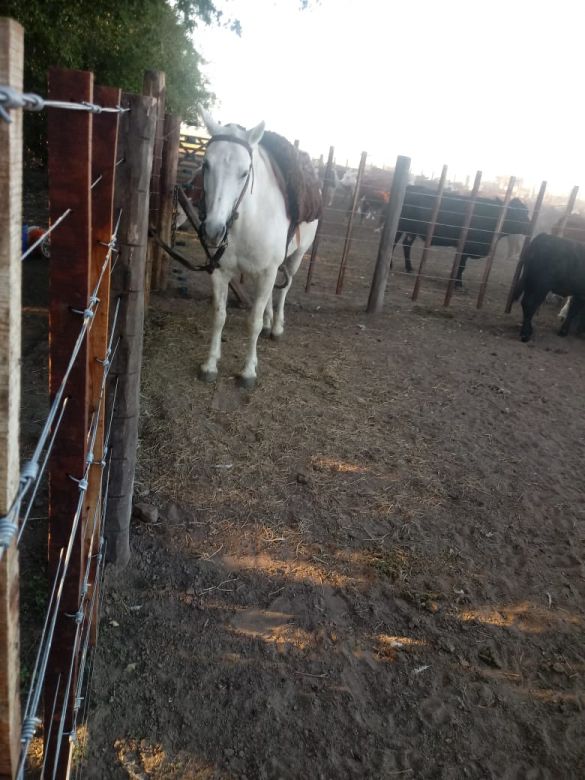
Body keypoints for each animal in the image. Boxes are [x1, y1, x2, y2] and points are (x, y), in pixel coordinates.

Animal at [197, 108, 318, 388]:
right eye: (206, 164)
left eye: (244, 172)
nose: (213, 231)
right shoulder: (220, 271)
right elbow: (219, 316)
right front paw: (210, 364)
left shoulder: (268, 271)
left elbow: (252, 321)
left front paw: (248, 371)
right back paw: (269, 321)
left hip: (295, 257)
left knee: (284, 289)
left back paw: (276, 327)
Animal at [392, 186, 528, 286]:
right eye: (514, 212)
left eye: (526, 212)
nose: (528, 227)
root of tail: (412, 187)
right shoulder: (466, 247)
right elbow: (462, 266)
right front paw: (458, 283)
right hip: (399, 226)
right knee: (393, 244)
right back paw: (391, 265)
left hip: (412, 230)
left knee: (406, 245)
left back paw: (409, 267)